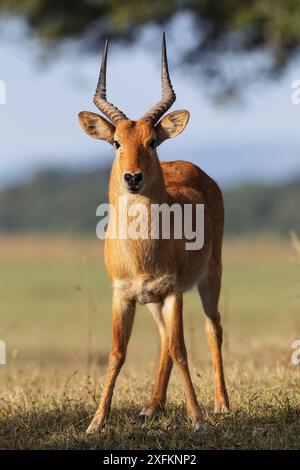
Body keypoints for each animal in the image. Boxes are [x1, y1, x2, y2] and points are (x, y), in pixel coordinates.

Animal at [78, 33, 230, 434]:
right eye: (116, 142)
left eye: (152, 141)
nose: (133, 177)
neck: (141, 253)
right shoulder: (123, 295)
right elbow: (117, 353)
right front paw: (96, 422)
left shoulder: (173, 291)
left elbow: (181, 349)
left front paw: (198, 420)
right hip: (153, 301)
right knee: (164, 339)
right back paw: (150, 407)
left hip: (210, 276)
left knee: (212, 328)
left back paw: (222, 405)